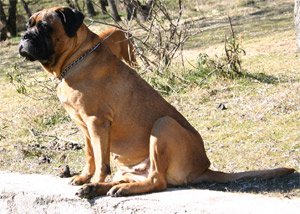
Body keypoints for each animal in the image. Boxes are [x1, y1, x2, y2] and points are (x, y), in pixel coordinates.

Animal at [19, 6, 296, 197]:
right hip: (129, 162)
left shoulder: (96, 123)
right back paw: (104, 187)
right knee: (138, 177)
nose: (23, 37)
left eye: (44, 27)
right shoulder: (84, 127)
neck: (75, 59)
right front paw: (84, 178)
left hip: (164, 125)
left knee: (157, 181)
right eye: (28, 25)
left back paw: (111, 189)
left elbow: (100, 162)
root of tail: (203, 167)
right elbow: (90, 156)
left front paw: (93, 180)